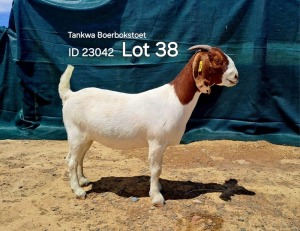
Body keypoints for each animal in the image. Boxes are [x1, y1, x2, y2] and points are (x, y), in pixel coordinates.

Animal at [58, 45, 239, 206]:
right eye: (217, 59)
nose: (236, 76)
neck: (174, 100)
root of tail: (69, 95)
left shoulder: (162, 144)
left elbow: (159, 167)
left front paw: (158, 187)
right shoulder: (156, 141)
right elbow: (155, 168)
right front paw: (156, 197)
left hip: (86, 136)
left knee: (80, 157)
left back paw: (83, 181)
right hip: (75, 133)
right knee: (70, 160)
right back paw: (78, 191)